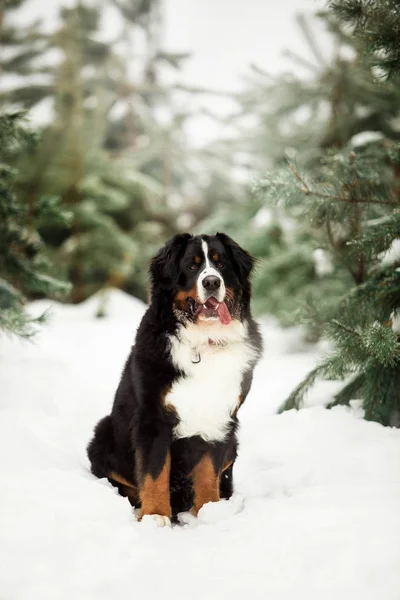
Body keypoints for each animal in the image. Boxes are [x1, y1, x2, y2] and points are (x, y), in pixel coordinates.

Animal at [87, 233, 262, 524]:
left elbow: (208, 472)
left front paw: (208, 511)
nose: (212, 282)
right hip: (104, 431)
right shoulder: (153, 417)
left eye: (221, 264)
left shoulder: (220, 417)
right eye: (192, 266)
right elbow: (154, 472)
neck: (203, 341)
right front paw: (156, 517)